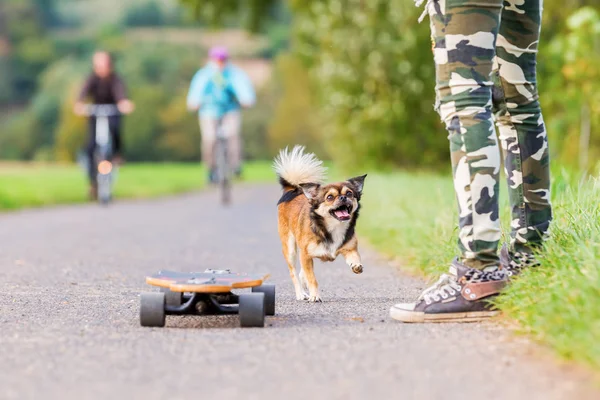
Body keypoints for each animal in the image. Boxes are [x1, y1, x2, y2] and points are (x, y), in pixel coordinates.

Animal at [274, 145, 366, 302]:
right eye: (329, 197)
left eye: (349, 193)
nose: (343, 197)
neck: (333, 228)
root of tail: (293, 189)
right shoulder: (305, 255)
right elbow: (312, 279)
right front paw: (315, 296)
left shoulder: (349, 248)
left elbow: (355, 257)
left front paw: (356, 265)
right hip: (290, 249)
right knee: (294, 273)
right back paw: (301, 294)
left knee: (301, 273)